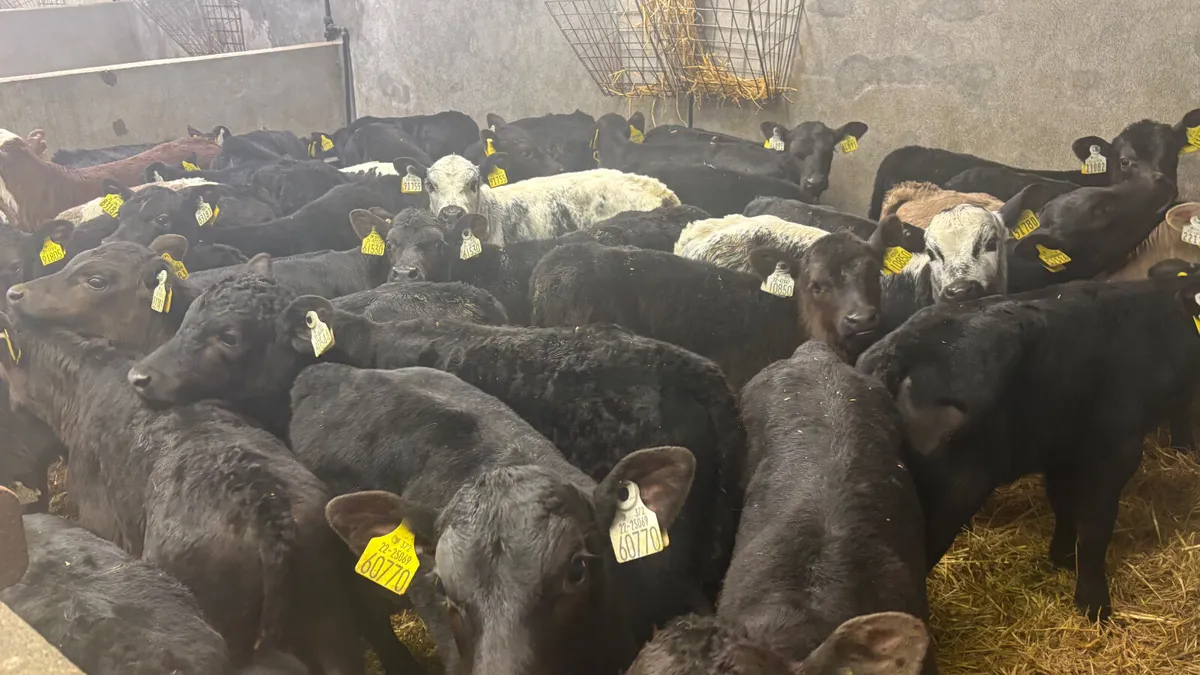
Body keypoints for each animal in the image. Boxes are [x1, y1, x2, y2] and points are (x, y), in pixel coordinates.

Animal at [857, 276, 1200, 621]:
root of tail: (897, 352)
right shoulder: (1113, 452)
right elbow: (1094, 528)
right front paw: (1094, 604)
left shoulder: (1061, 452)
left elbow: (1064, 506)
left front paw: (1062, 558)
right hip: (946, 499)